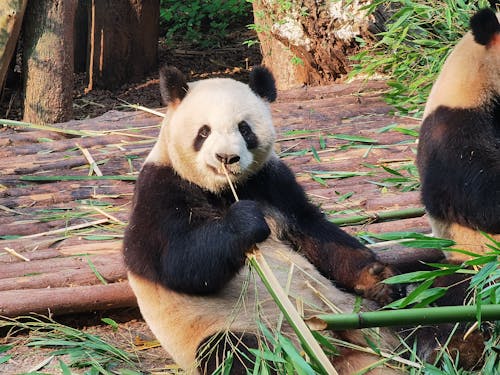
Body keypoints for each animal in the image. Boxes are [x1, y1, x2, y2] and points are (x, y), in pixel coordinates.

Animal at [123, 66, 478, 374]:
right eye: (204, 131)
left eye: (244, 129)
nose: (227, 158)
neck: (224, 189)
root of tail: (336, 347)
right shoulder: (161, 188)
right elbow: (177, 263)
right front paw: (245, 221)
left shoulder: (271, 182)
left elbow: (315, 233)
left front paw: (377, 276)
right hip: (239, 327)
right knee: (237, 353)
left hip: (370, 312)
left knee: (434, 299)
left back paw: (449, 344)